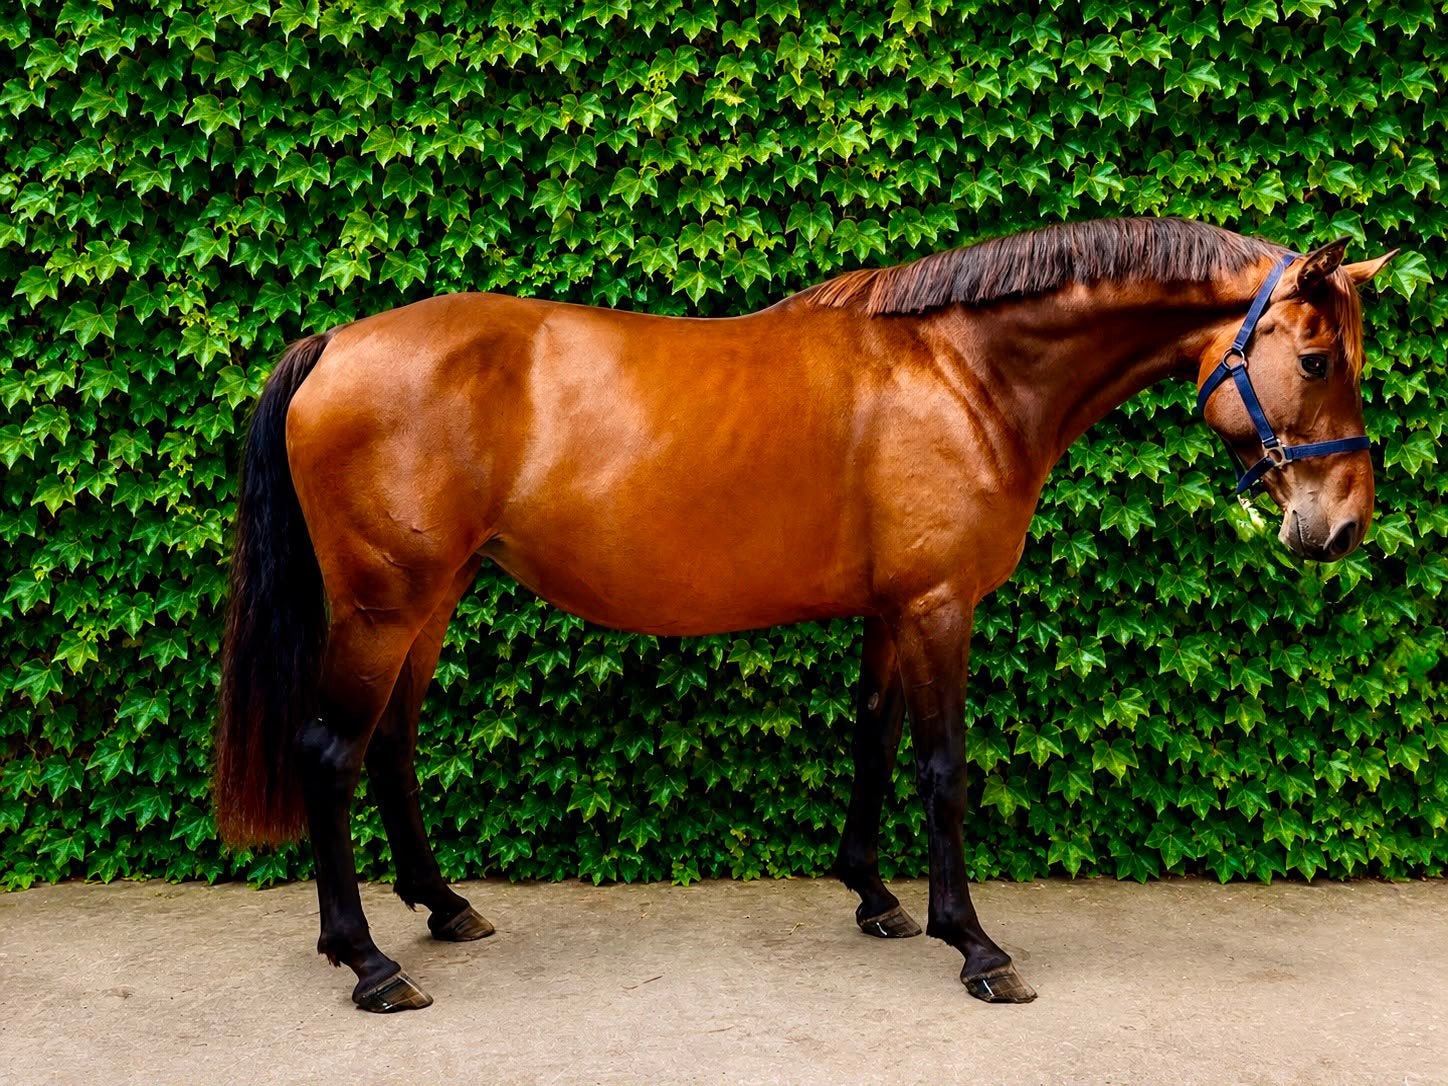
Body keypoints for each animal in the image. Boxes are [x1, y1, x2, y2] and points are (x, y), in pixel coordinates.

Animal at [214, 216, 1395, 1012]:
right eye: (1314, 358)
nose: (1340, 527)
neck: (961, 373)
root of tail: (335, 342)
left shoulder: (891, 610)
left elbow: (872, 741)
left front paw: (874, 896)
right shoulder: (938, 609)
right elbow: (941, 767)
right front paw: (973, 945)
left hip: (433, 599)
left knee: (390, 746)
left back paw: (443, 905)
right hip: (384, 605)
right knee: (330, 753)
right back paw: (368, 960)